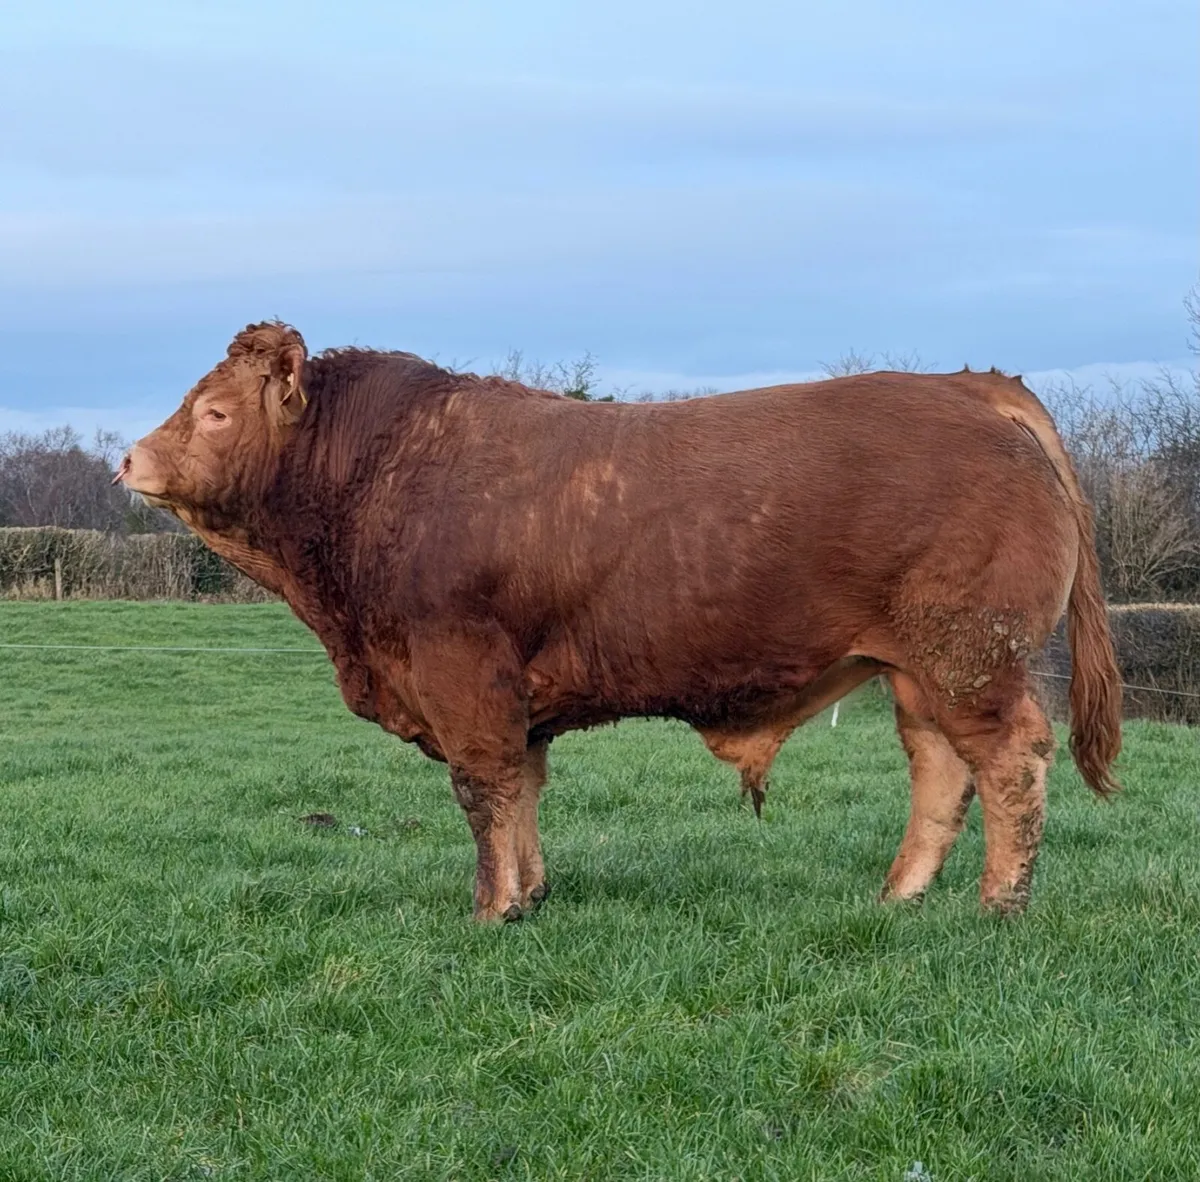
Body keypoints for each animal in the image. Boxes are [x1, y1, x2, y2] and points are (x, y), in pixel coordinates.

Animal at [116, 322, 1122, 922]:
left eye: (214, 412)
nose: (129, 458)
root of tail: (967, 386)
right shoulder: (512, 698)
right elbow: (521, 790)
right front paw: (531, 893)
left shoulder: (462, 671)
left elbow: (482, 791)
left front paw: (491, 910)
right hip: (921, 670)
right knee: (941, 769)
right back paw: (900, 896)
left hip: (972, 656)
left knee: (1011, 761)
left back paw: (999, 905)